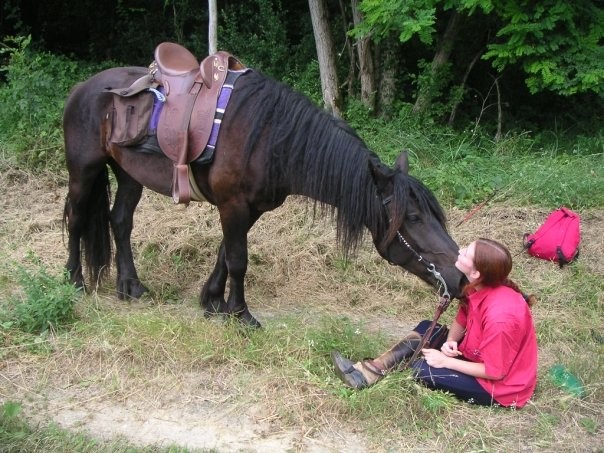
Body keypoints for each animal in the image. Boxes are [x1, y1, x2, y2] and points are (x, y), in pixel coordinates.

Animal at [62, 62, 468, 324]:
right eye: (413, 217)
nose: (462, 278)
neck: (271, 138)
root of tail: (83, 88)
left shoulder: (248, 208)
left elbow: (226, 254)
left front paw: (213, 302)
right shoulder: (233, 205)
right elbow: (239, 260)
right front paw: (241, 315)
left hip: (129, 174)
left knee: (120, 222)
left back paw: (129, 285)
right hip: (84, 170)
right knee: (78, 220)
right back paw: (75, 281)